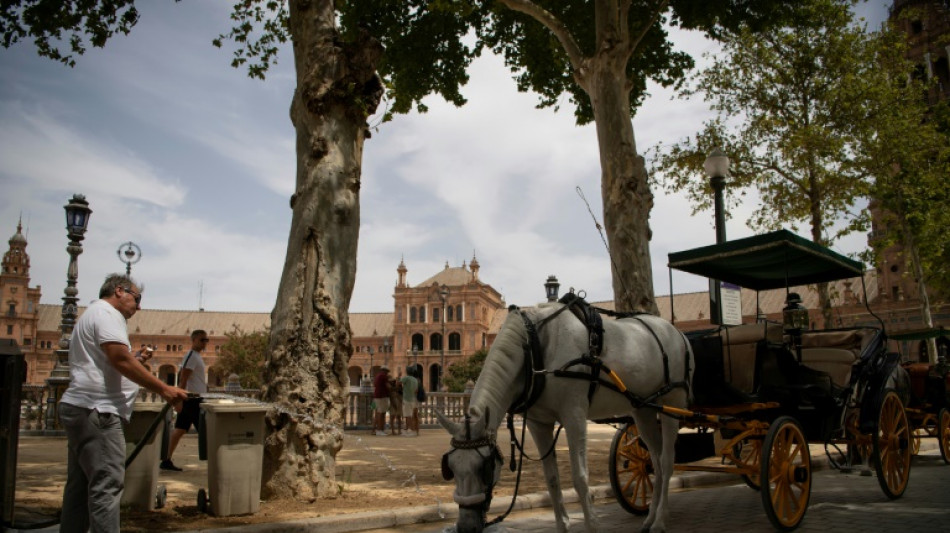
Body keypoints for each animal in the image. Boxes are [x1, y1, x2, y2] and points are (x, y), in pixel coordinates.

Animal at [436, 300, 692, 532]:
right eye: (450, 468)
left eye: (486, 467)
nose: (465, 527)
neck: (533, 348)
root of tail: (678, 333)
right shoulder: (538, 423)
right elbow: (552, 479)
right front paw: (563, 524)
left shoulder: (574, 415)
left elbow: (580, 477)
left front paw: (593, 526)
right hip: (643, 409)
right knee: (654, 461)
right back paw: (650, 518)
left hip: (672, 403)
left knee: (667, 461)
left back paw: (659, 521)